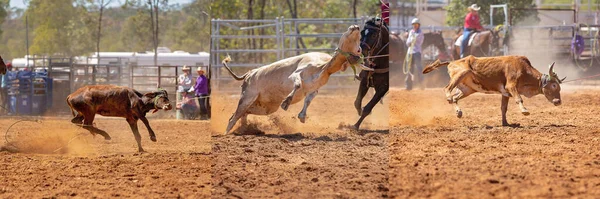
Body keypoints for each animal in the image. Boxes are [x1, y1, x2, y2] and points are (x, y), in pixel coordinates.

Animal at [422, 55, 564, 125]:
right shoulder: (511, 86)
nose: (558, 102)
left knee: (455, 98)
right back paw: (448, 98)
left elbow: (503, 108)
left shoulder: (505, 93)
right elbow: (519, 98)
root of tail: (452, 62)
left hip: (468, 89)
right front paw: (524, 111)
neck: (523, 70)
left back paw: (459, 112)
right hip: (461, 74)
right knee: (447, 89)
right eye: (554, 86)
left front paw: (505, 123)